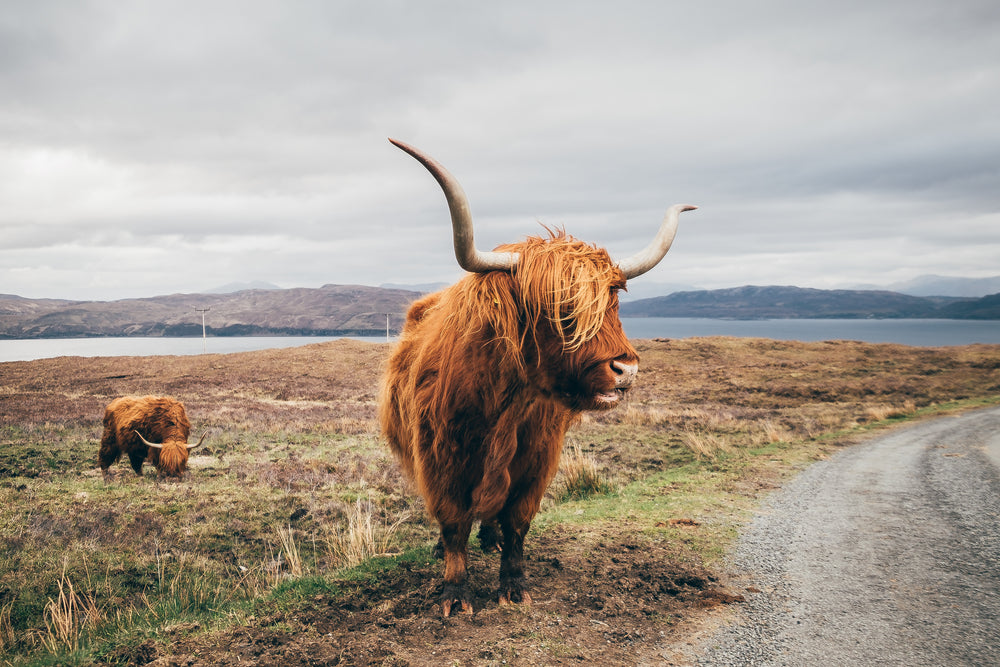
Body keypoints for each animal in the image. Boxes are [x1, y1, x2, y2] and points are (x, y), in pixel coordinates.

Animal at [376, 140, 696, 616]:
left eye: (614, 301)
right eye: (559, 308)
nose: (626, 369)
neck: (504, 405)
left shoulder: (536, 462)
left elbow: (517, 524)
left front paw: (514, 586)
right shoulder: (440, 460)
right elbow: (452, 525)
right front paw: (455, 594)